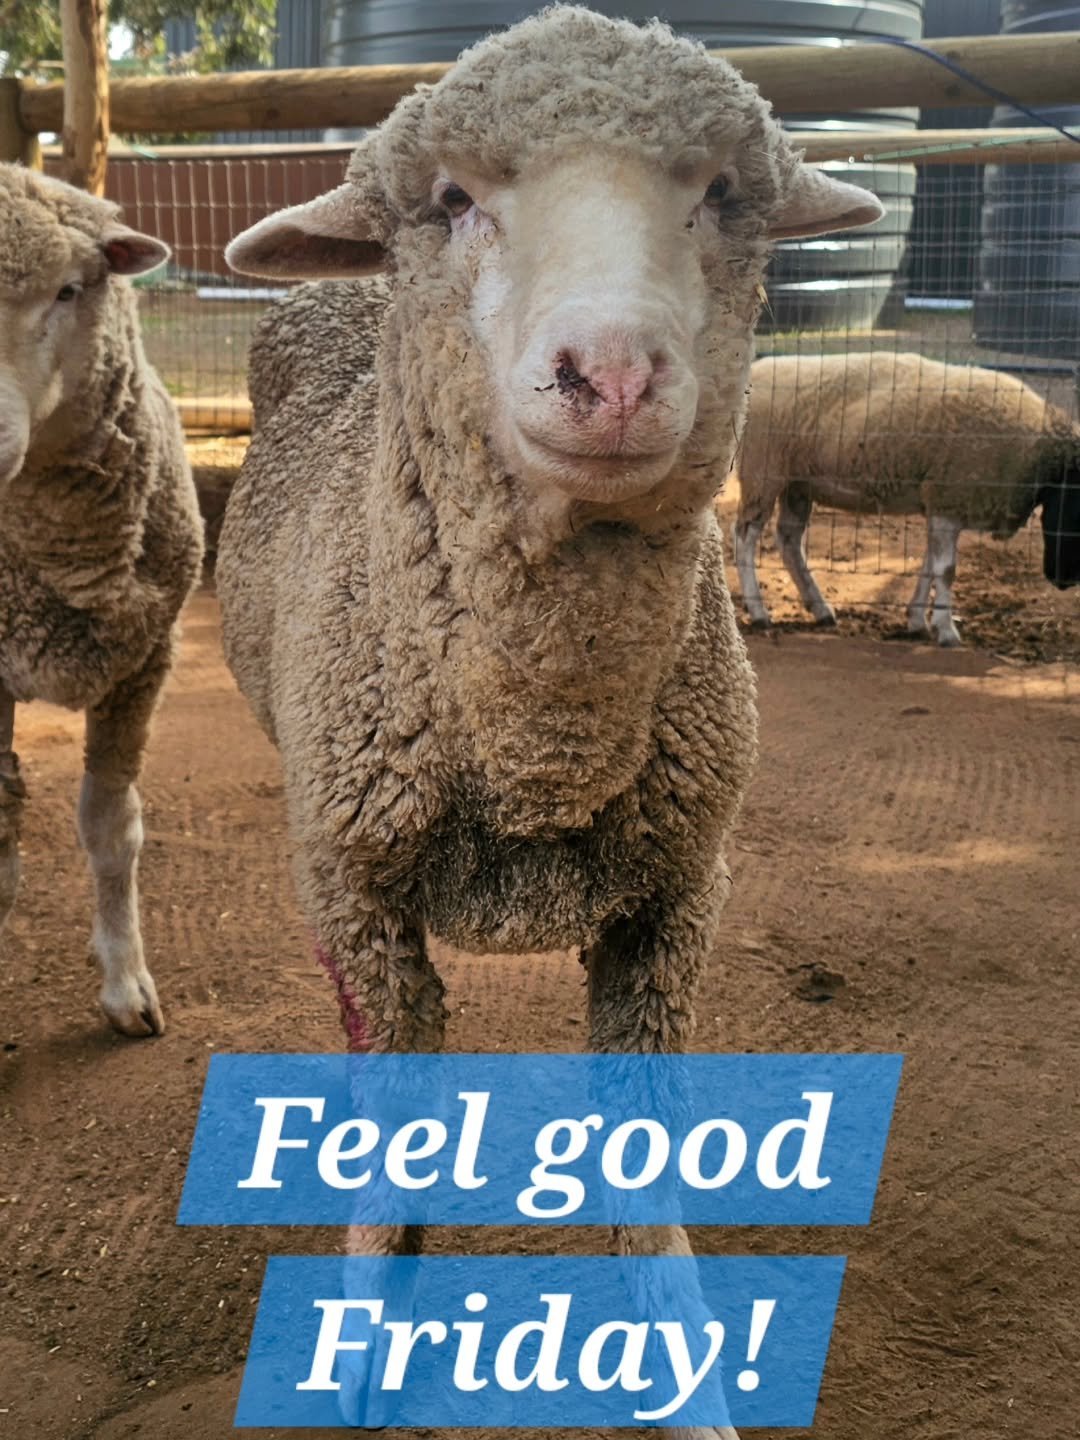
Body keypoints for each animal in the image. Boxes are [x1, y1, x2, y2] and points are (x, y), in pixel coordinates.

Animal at [219, 0, 882, 1350]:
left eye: (723, 191)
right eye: (453, 198)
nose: (613, 374)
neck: (542, 747)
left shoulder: (679, 900)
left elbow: (642, 1150)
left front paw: (675, 1340)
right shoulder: (356, 902)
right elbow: (393, 1130)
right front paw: (366, 1328)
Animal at [733, 351, 1080, 646]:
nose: (1063, 581)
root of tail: (759, 369)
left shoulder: (942, 503)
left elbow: (929, 566)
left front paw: (917, 621)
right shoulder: (947, 499)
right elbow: (946, 570)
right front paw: (946, 631)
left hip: (797, 485)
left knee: (789, 541)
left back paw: (820, 609)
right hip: (762, 474)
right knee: (744, 539)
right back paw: (759, 612)